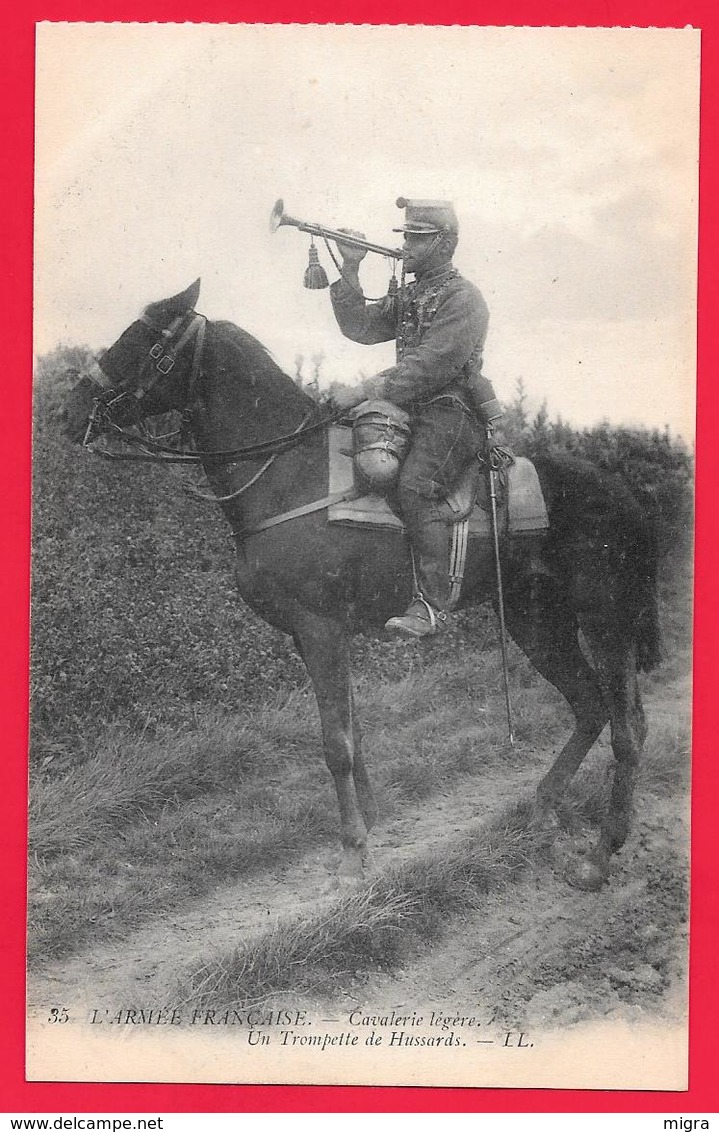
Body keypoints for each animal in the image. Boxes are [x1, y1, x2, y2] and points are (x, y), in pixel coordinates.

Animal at [64, 278, 661, 887]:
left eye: (145, 339)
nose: (70, 409)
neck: (288, 472)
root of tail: (625, 495)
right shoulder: (317, 636)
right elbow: (352, 726)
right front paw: (370, 821)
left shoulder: (320, 628)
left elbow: (336, 742)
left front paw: (354, 849)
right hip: (534, 619)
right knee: (589, 705)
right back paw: (542, 807)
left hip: (605, 619)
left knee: (627, 726)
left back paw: (601, 853)